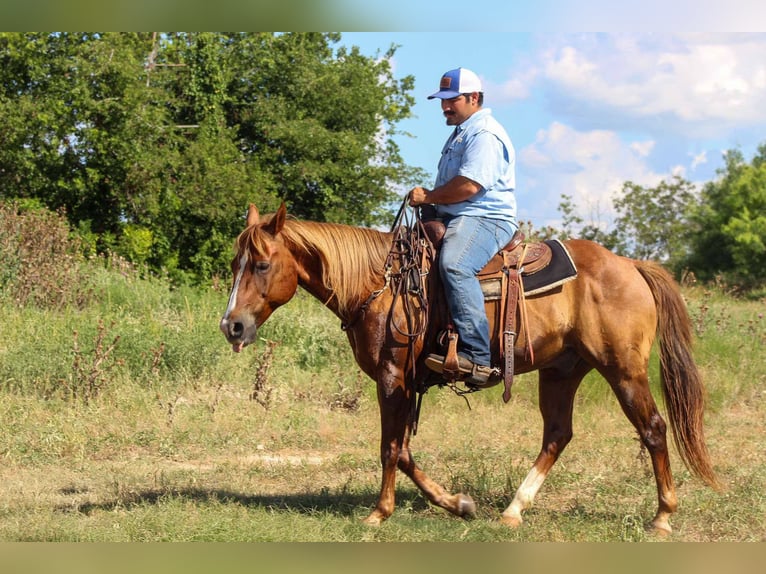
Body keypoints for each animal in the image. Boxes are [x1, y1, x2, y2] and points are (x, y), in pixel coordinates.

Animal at [219, 202, 719, 534]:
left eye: (261, 264)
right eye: (235, 263)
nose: (232, 325)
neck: (381, 285)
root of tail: (630, 264)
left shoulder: (392, 377)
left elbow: (390, 448)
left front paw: (379, 513)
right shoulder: (405, 383)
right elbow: (404, 451)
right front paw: (457, 503)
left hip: (623, 370)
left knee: (653, 428)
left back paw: (662, 516)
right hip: (562, 370)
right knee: (558, 434)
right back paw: (514, 509)